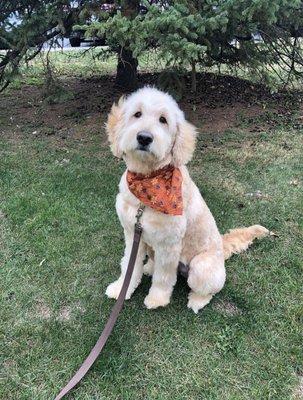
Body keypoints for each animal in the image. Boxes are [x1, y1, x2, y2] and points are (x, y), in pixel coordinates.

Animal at [104, 86, 268, 312]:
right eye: (137, 114)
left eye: (163, 120)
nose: (144, 138)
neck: (147, 184)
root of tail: (221, 245)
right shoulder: (132, 233)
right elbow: (129, 265)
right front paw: (122, 288)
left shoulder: (169, 244)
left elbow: (164, 277)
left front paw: (157, 299)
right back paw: (149, 267)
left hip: (200, 267)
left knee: (208, 289)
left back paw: (197, 300)